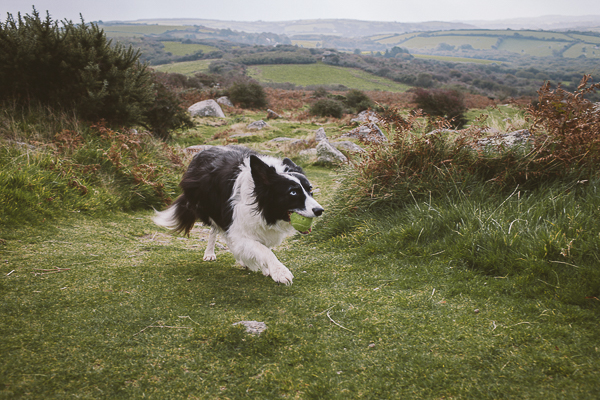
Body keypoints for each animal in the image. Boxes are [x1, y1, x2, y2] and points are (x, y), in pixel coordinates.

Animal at [155, 146, 324, 284]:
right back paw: (210, 253)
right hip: (211, 209)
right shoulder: (236, 225)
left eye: (310, 189)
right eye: (293, 192)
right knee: (215, 230)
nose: (319, 210)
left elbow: (263, 247)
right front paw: (279, 271)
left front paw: (265, 267)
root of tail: (202, 151)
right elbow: (263, 250)